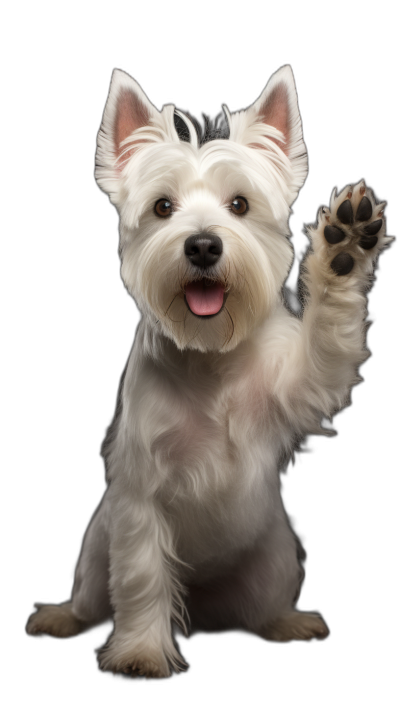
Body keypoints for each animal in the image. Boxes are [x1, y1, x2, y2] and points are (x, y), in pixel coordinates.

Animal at [25, 67, 390, 680]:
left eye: (239, 204)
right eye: (162, 207)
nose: (202, 245)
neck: (209, 353)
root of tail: (203, 609)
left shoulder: (302, 384)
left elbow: (328, 342)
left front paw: (344, 249)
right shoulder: (142, 498)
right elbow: (142, 580)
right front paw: (142, 652)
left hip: (275, 559)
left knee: (263, 606)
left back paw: (286, 623)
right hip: (95, 556)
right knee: (92, 600)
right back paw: (61, 617)